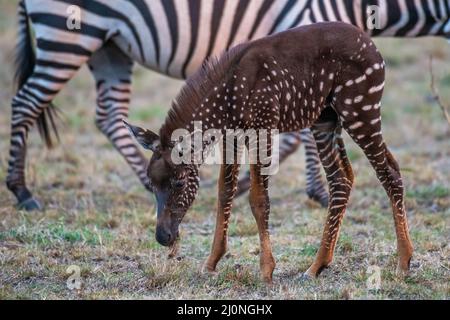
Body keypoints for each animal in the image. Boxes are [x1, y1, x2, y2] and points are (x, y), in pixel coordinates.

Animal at [7, 0, 450, 210]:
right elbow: (302, 134)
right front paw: (316, 191)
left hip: (110, 46)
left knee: (108, 116)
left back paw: (147, 181)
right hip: (70, 34)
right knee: (26, 103)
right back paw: (22, 191)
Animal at [125, 21, 414, 282]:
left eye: (179, 182)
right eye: (151, 182)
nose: (163, 237)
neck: (225, 102)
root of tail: (374, 48)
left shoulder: (262, 128)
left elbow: (259, 200)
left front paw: (266, 269)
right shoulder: (232, 137)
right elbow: (225, 193)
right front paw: (211, 262)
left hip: (360, 109)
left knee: (389, 171)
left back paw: (404, 261)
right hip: (325, 120)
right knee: (342, 179)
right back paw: (317, 266)